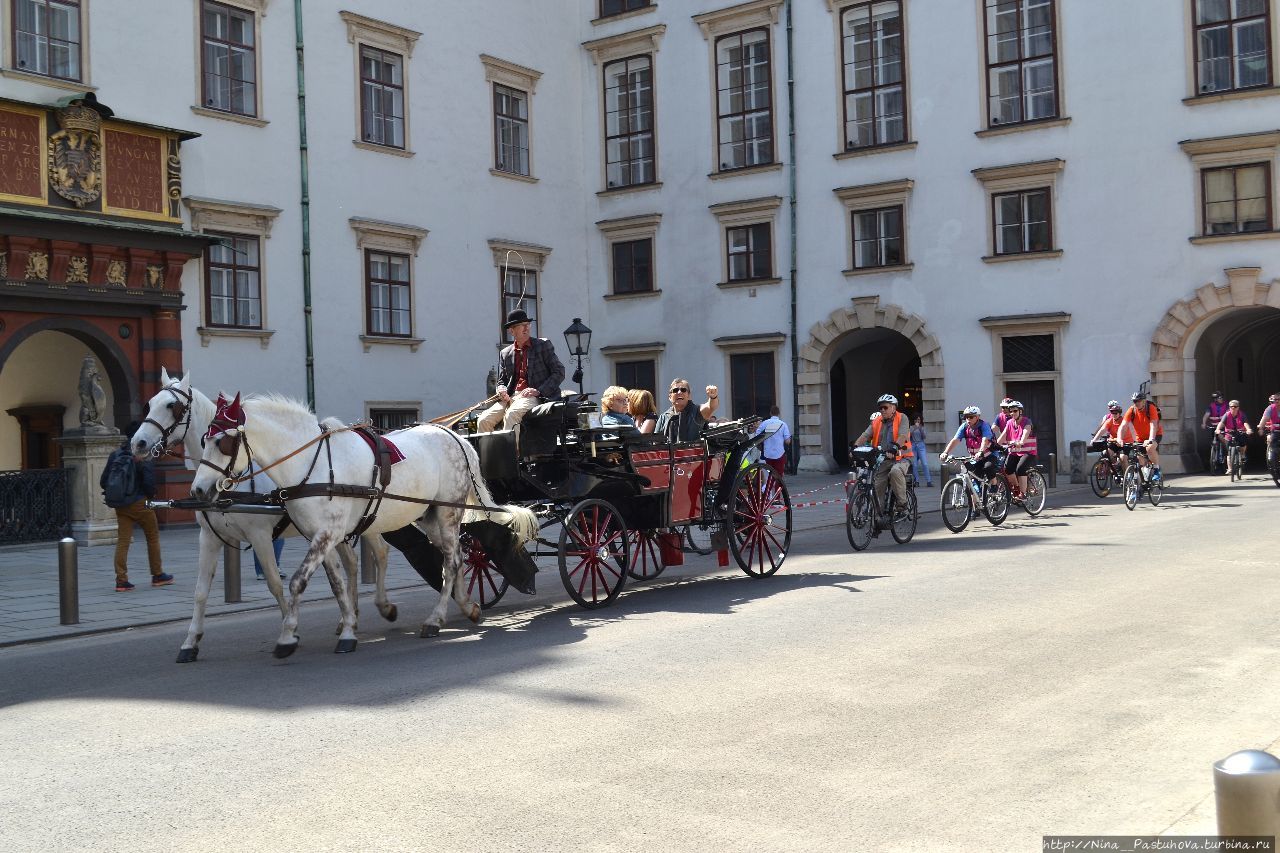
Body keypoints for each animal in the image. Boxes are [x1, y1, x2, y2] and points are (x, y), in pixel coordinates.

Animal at [131, 366, 394, 655]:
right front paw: (191, 641)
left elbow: (274, 582)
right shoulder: (208, 537)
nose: (138, 443)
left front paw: (290, 630)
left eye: (172, 406)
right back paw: (349, 618)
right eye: (150, 403)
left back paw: (383, 606)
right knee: (351, 564)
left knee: (380, 553)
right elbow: (201, 591)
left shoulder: (260, 535)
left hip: (368, 521)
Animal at [186, 391, 535, 655]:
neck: (311, 464)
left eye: (223, 443)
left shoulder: (322, 534)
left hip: (448, 513)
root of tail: (456, 437)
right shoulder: (322, 536)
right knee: (458, 558)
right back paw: (466, 606)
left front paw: (288, 636)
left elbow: (296, 582)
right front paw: (348, 627)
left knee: (449, 562)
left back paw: (436, 619)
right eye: (203, 440)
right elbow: (338, 583)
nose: (199, 490)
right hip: (431, 517)